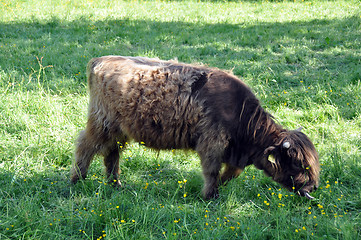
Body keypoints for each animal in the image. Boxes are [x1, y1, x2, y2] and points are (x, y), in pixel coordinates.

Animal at [69, 55, 318, 200]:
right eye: (298, 164)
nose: (314, 187)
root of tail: (101, 59)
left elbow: (231, 172)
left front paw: (220, 187)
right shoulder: (212, 144)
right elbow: (211, 171)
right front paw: (211, 195)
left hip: (119, 130)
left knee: (112, 153)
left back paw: (116, 184)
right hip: (102, 124)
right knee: (85, 146)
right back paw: (77, 180)